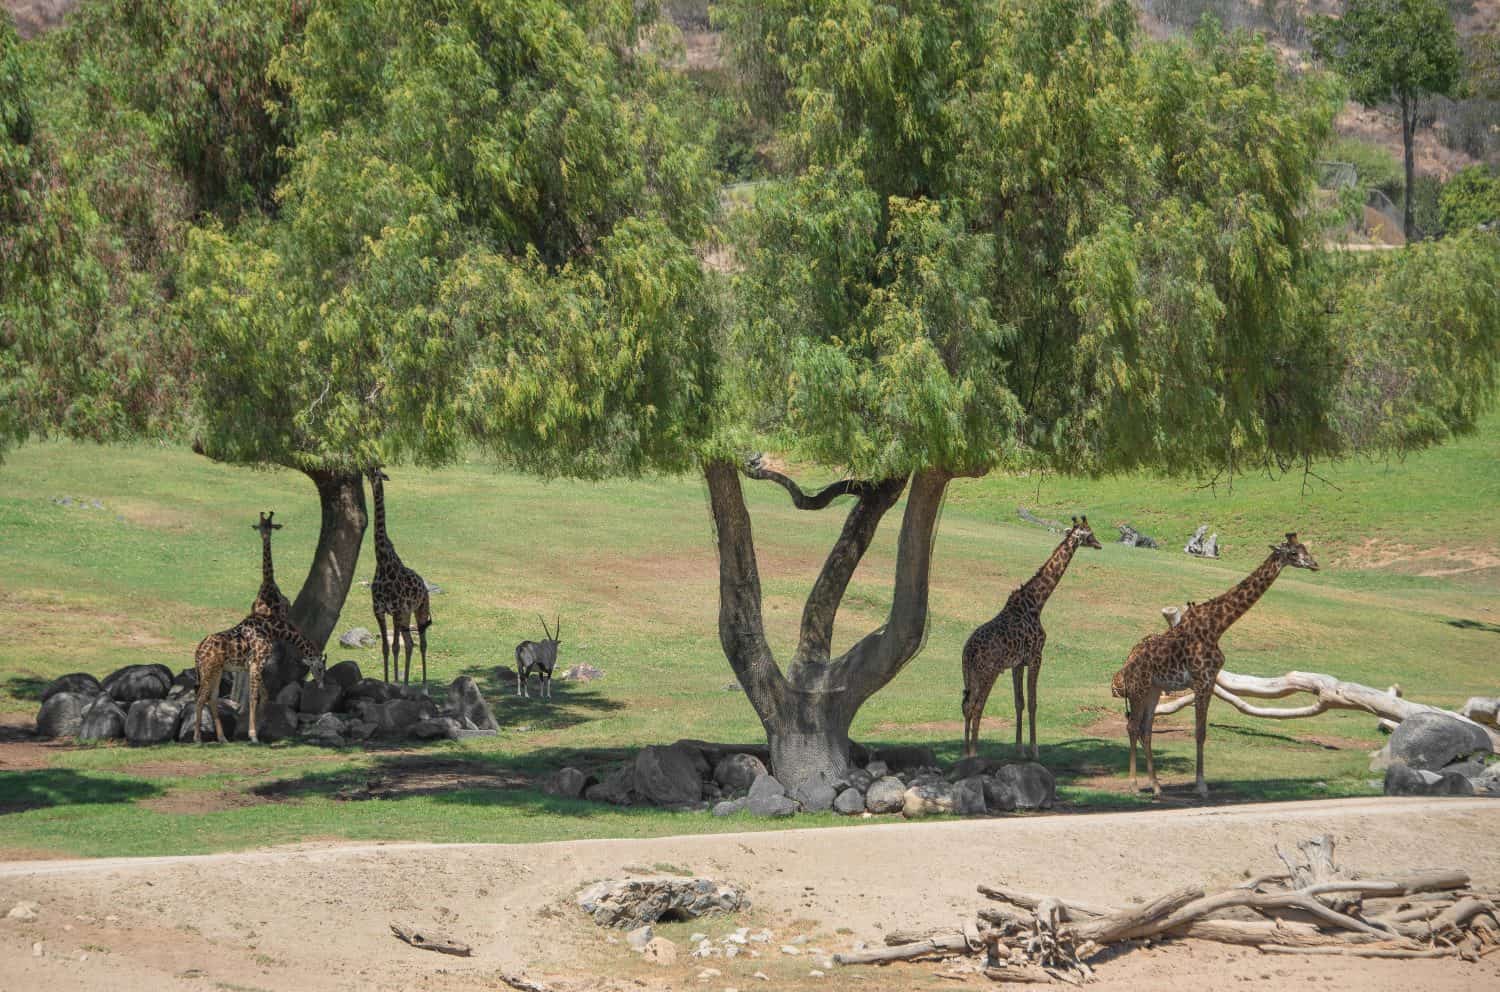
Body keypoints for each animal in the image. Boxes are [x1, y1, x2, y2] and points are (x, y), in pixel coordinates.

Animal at [366, 466, 433, 686]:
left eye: (376, 470)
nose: (365, 469)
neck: (383, 562)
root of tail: (424, 587)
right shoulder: (379, 610)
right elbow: (386, 648)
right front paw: (388, 682)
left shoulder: (394, 610)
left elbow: (395, 647)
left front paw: (393, 683)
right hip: (406, 615)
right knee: (410, 643)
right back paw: (404, 682)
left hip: (420, 609)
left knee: (422, 643)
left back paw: (423, 685)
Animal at [961, 516, 1103, 758]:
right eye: (1090, 533)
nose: (1099, 544)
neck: (1037, 603)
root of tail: (968, 651)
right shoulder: (1037, 656)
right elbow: (1033, 702)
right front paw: (1035, 750)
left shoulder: (1018, 663)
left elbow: (1019, 702)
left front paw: (1019, 750)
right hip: (988, 673)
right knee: (977, 706)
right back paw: (973, 752)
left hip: (968, 674)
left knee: (966, 705)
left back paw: (965, 752)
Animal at [1111, 532, 1320, 798]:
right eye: (1293, 553)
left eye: (1304, 549)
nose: (1315, 564)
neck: (1217, 626)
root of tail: (1126, 666)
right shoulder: (1202, 680)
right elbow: (1199, 732)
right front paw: (1201, 786)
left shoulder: (1209, 682)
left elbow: (1202, 732)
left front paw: (1199, 784)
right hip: (1139, 688)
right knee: (1132, 726)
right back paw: (1134, 786)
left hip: (1153, 690)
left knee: (1145, 730)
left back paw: (1157, 787)